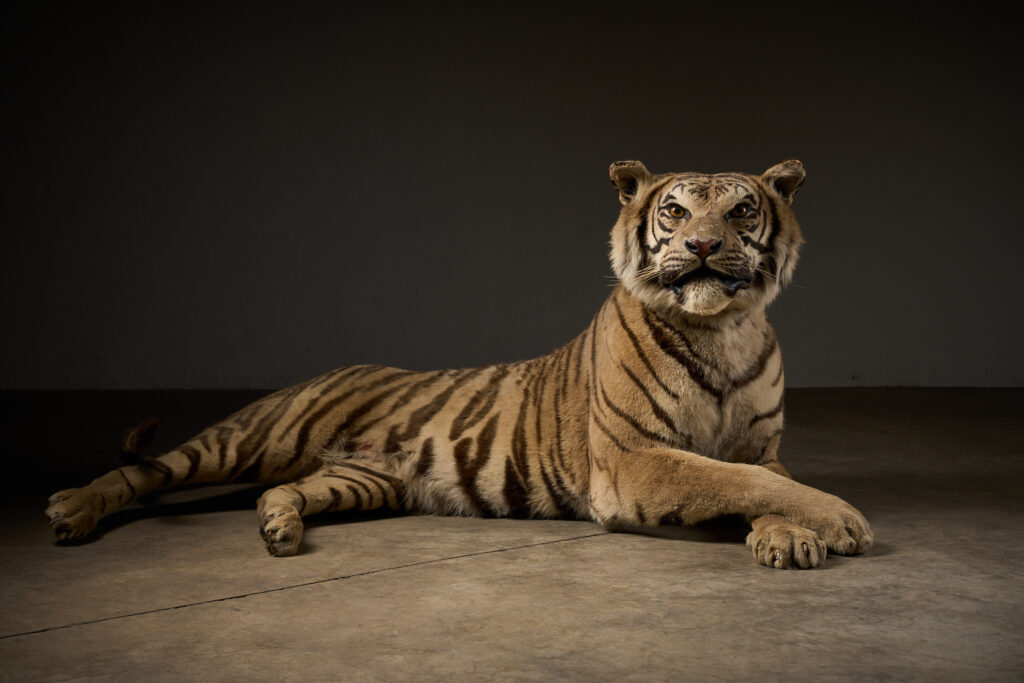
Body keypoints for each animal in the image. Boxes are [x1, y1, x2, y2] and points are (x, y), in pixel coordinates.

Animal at [45, 159, 872, 569]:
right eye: (674, 211)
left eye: (741, 210)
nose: (702, 245)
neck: (721, 326)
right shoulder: (633, 458)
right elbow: (732, 480)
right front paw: (840, 521)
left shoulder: (759, 445)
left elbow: (764, 480)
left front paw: (789, 535)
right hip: (253, 436)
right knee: (144, 470)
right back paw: (72, 511)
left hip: (362, 479)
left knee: (283, 490)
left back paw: (279, 526)